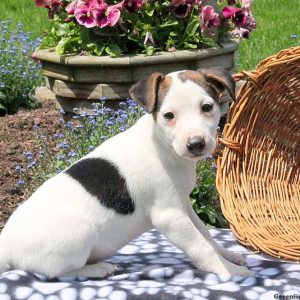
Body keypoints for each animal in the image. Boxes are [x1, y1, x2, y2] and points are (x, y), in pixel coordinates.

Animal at [0, 68, 253, 278]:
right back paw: (96, 269)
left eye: (207, 107)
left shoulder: (184, 206)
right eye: (169, 115)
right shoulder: (170, 215)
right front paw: (228, 270)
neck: (163, 145)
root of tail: (6, 246)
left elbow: (206, 235)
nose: (196, 144)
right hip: (77, 236)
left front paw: (227, 255)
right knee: (57, 273)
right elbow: (200, 246)